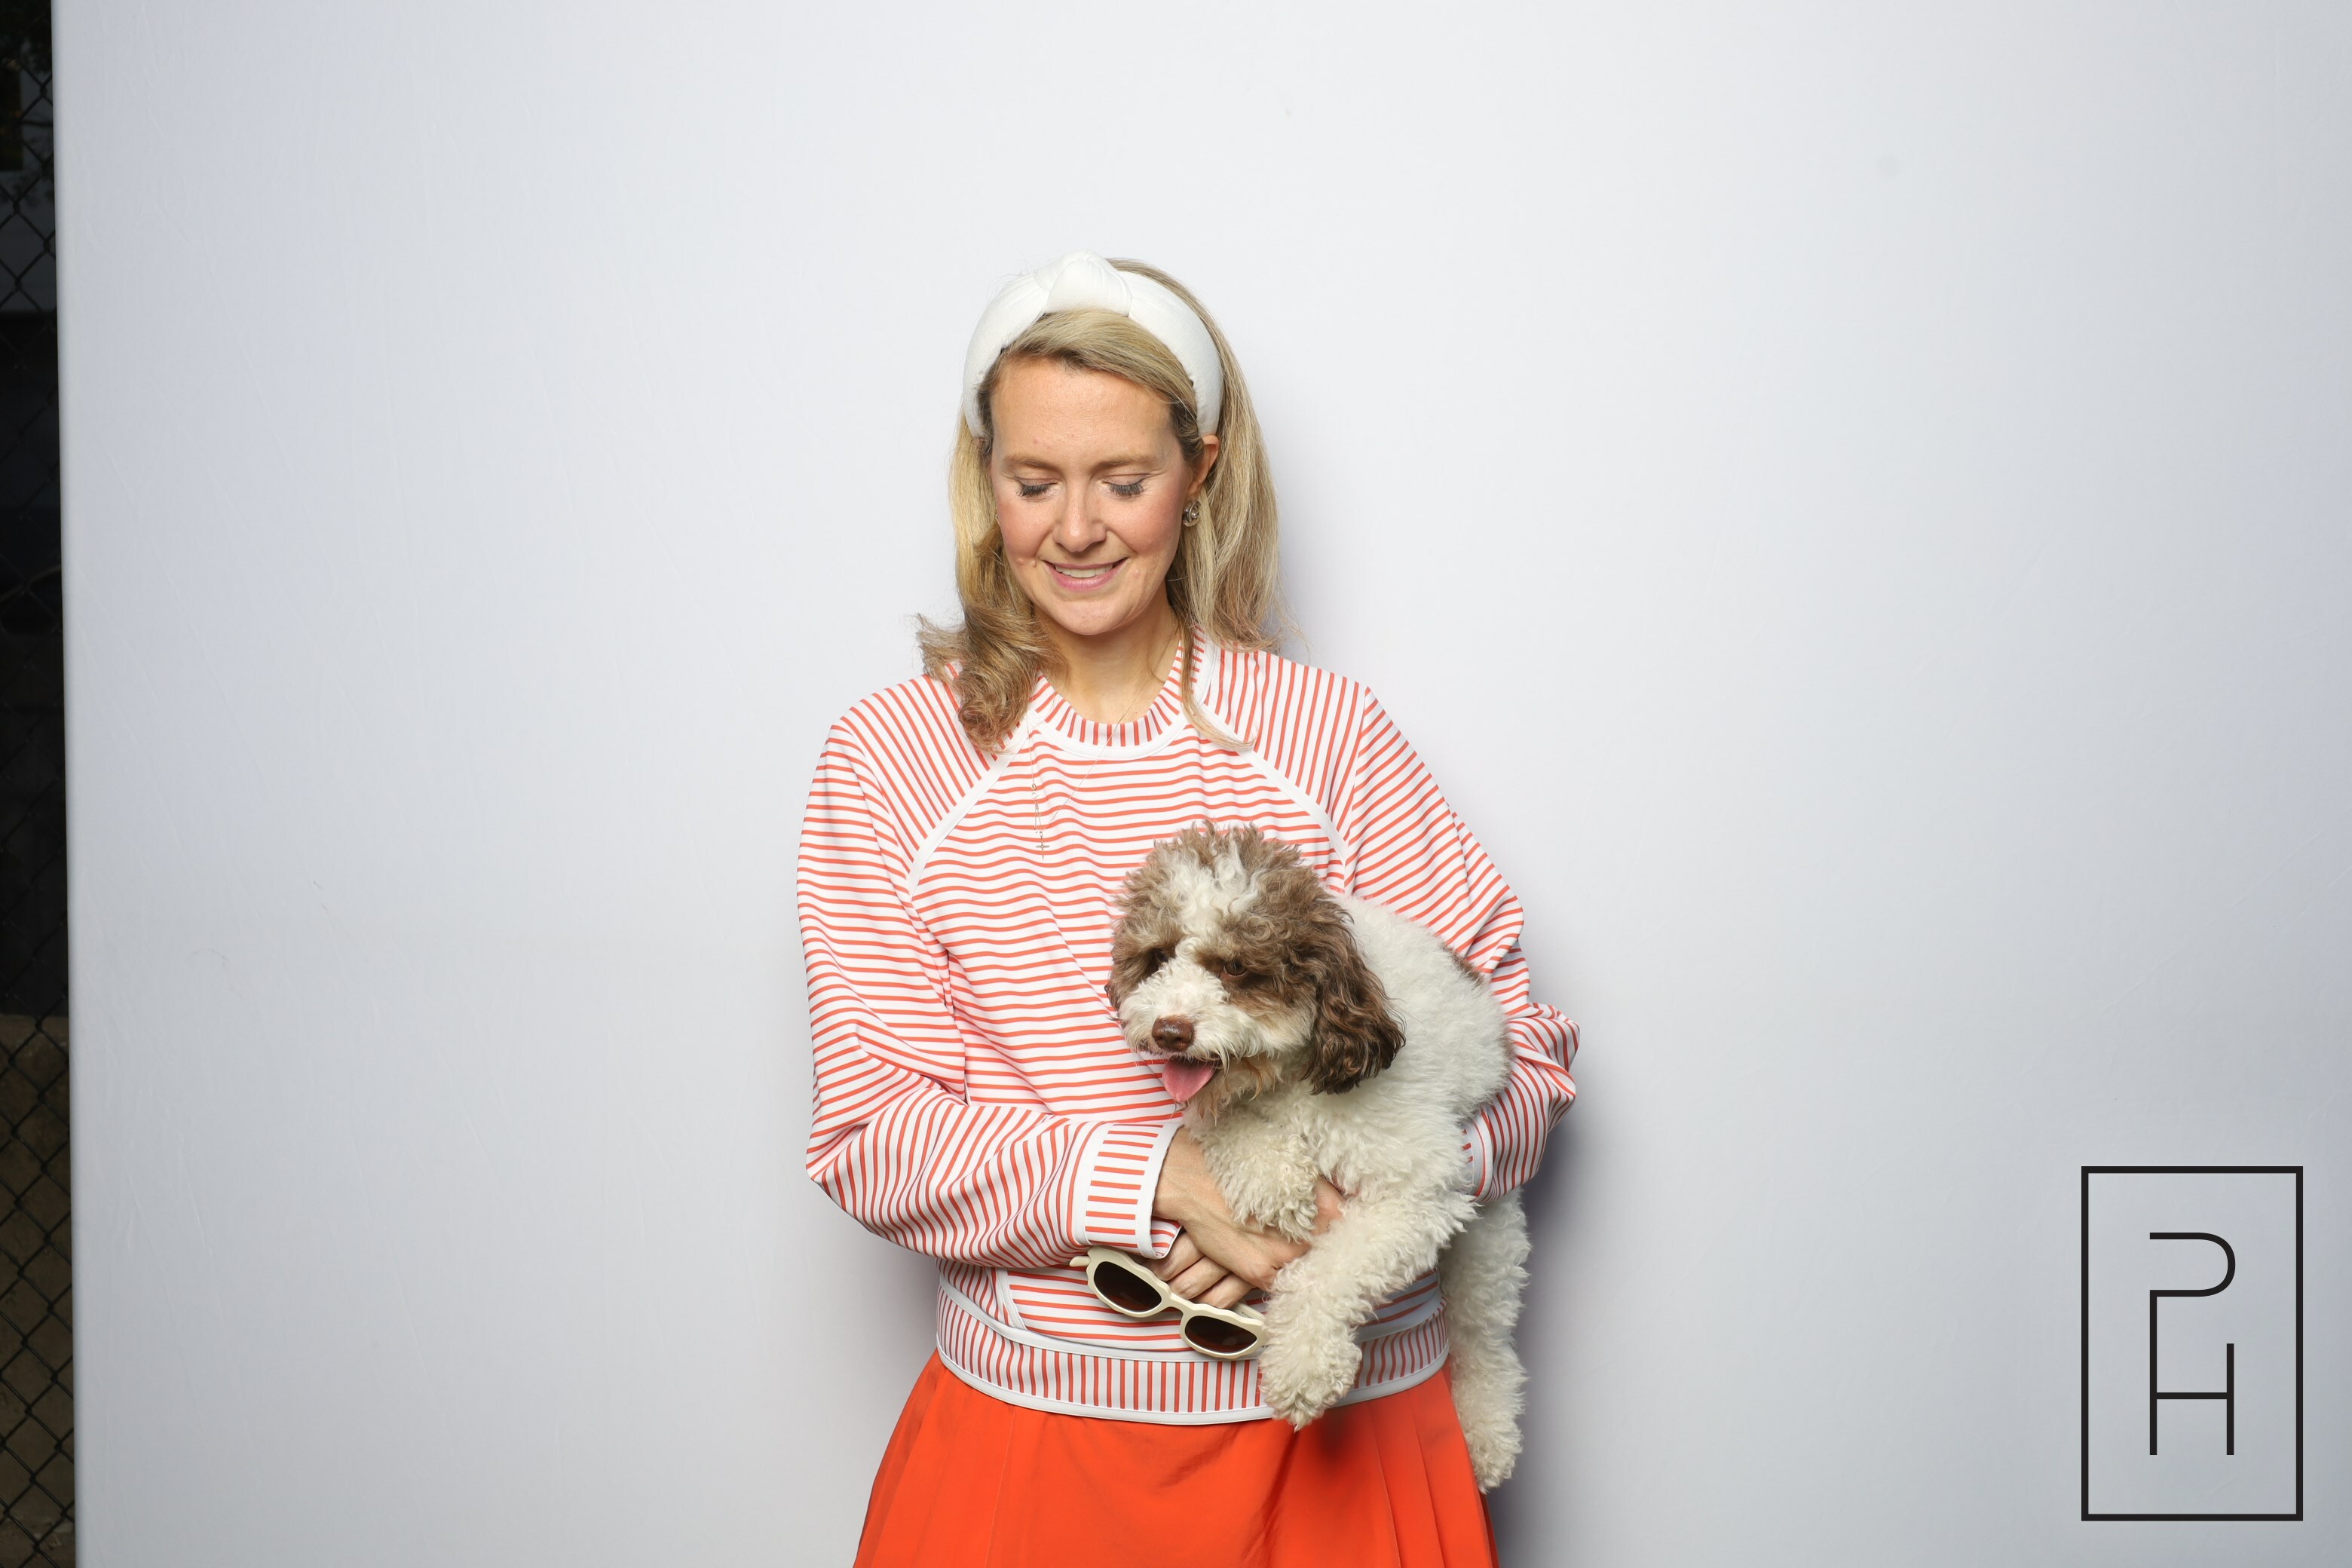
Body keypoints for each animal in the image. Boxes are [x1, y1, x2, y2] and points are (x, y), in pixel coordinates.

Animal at [1105, 824, 1532, 1490]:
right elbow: (1228, 1128)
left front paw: (1303, 1369)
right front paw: (1273, 1182)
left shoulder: (1418, 1192)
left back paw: (1487, 1434)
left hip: (1490, 1238)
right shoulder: (1220, 1105)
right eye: (1158, 957)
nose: (1171, 1031)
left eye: (1237, 967)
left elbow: (1327, 1275)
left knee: (1485, 1339)